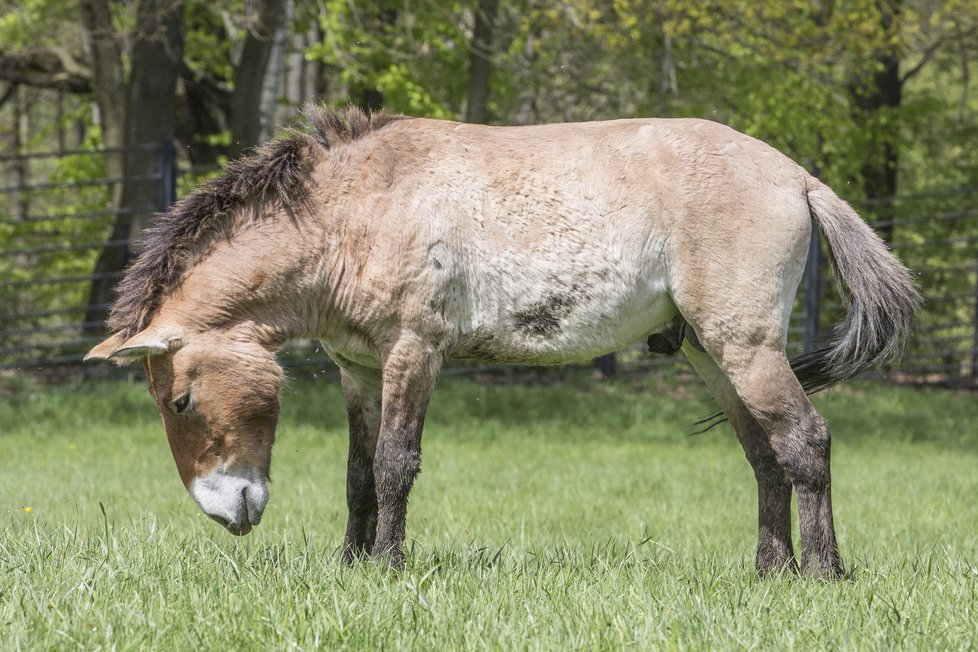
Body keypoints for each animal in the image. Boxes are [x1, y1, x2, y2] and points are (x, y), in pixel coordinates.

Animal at [87, 105, 920, 576]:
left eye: (182, 400)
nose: (225, 511)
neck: (351, 209)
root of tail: (797, 177)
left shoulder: (413, 351)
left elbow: (394, 466)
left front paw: (387, 568)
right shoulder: (357, 368)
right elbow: (356, 475)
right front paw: (349, 564)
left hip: (747, 348)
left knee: (806, 442)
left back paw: (823, 574)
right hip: (711, 355)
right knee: (764, 456)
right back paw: (769, 571)